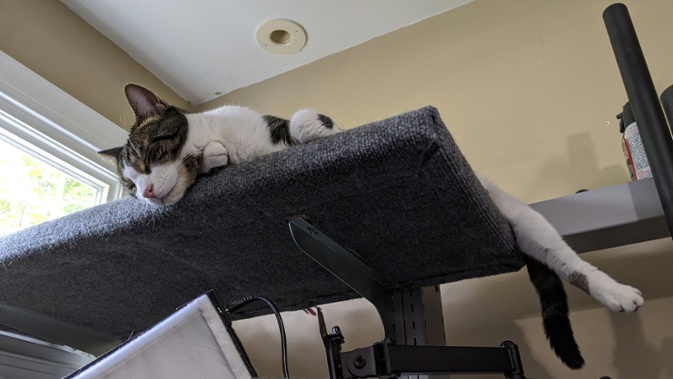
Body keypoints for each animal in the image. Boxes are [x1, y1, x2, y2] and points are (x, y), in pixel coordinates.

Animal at [100, 84, 640, 372]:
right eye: (128, 184)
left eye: (145, 157)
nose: (145, 195)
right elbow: (216, 160)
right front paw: (211, 160)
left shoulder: (280, 124)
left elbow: (304, 123)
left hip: (521, 218)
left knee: (565, 259)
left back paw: (617, 292)